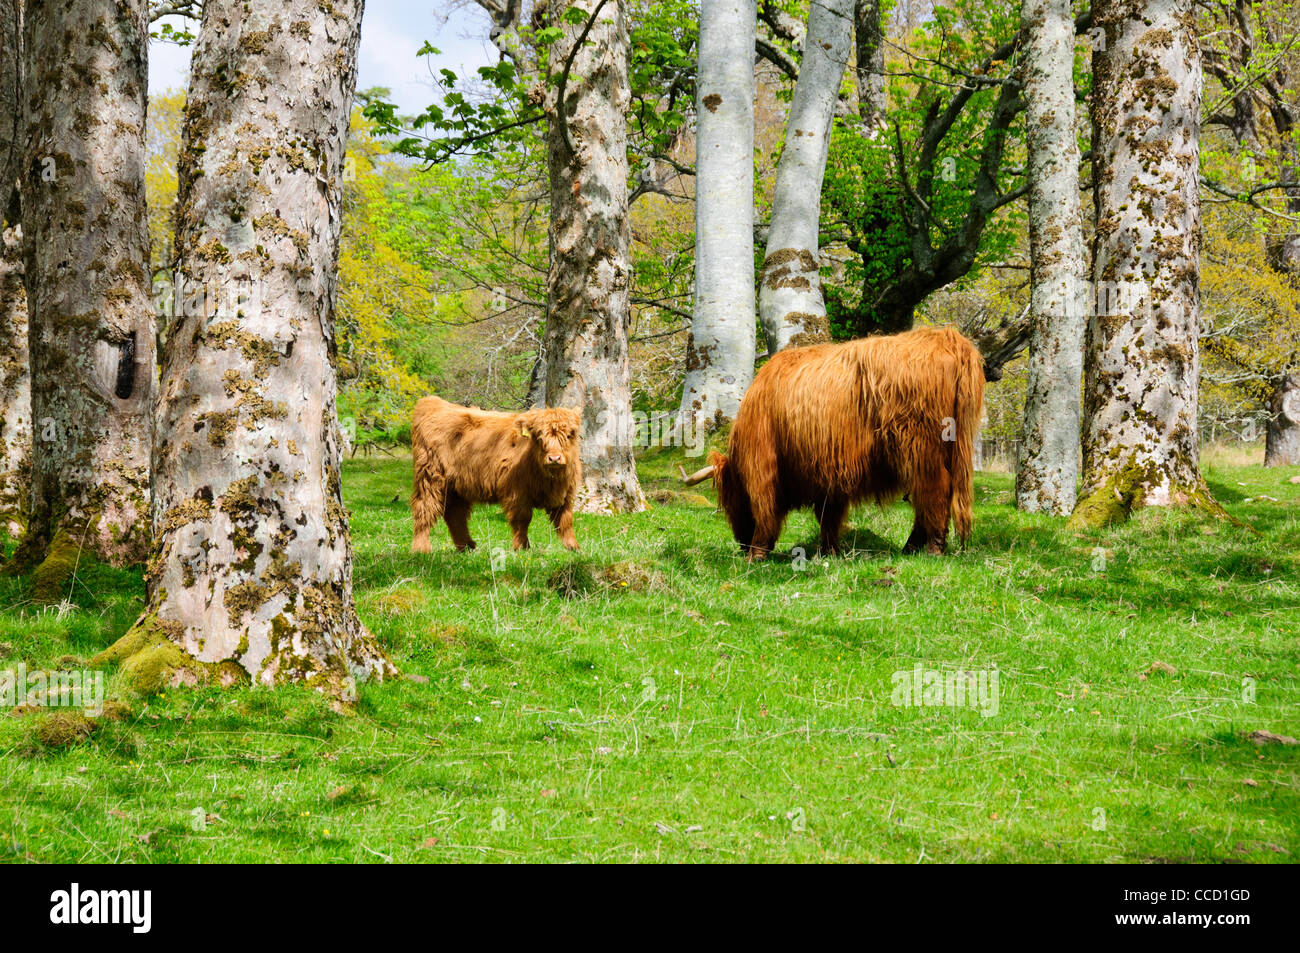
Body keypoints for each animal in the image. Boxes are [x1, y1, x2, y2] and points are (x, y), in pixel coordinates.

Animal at [411, 396, 582, 553]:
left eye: (570, 435)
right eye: (539, 436)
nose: (554, 458)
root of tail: (433, 403)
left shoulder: (566, 494)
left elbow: (566, 520)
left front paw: (573, 547)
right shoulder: (517, 493)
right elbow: (522, 519)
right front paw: (522, 547)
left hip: (456, 486)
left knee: (455, 514)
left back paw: (467, 547)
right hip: (430, 477)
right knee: (424, 509)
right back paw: (421, 548)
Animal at [682, 326, 985, 558]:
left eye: (730, 499)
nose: (742, 543)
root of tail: (946, 337)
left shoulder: (764, 465)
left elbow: (766, 509)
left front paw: (758, 553)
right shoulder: (831, 473)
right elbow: (828, 516)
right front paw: (828, 552)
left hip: (922, 450)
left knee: (934, 492)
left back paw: (933, 548)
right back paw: (910, 548)